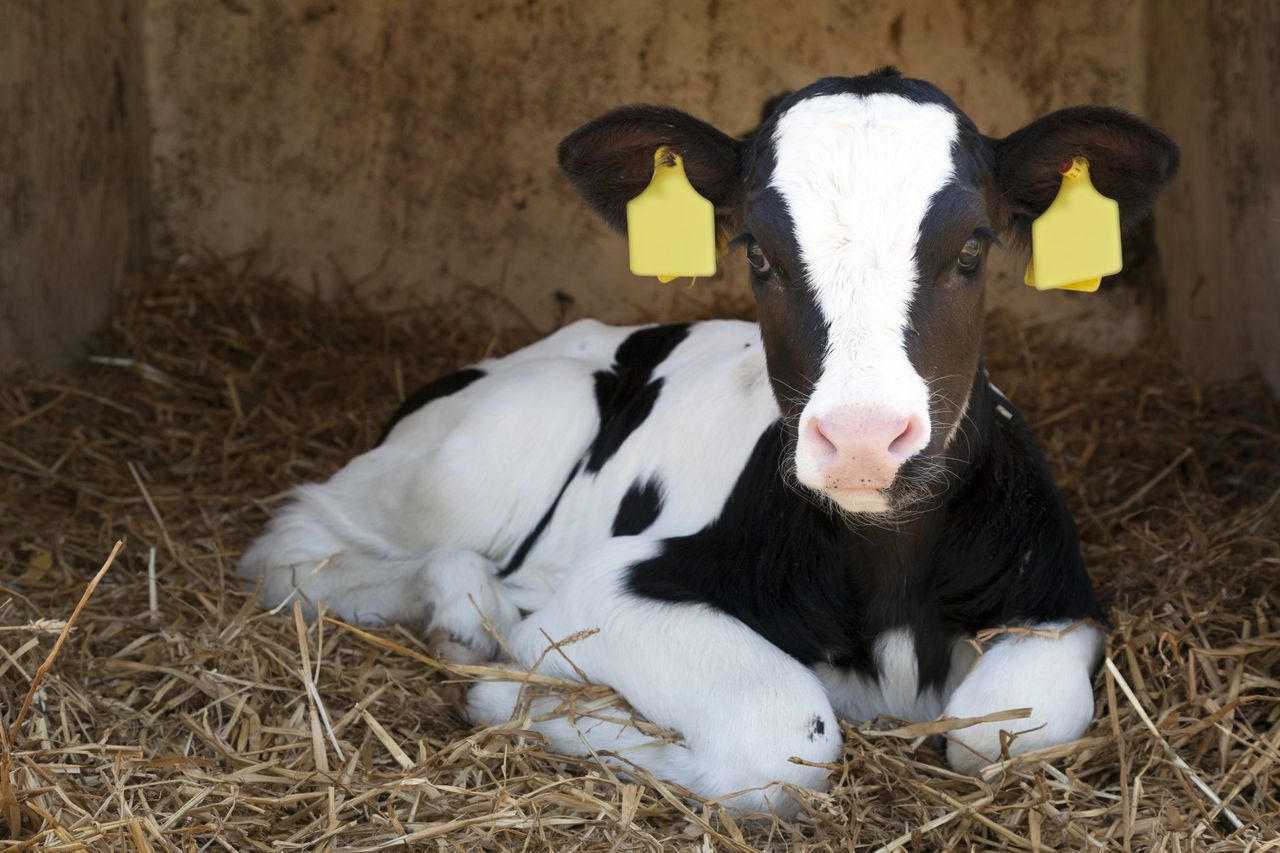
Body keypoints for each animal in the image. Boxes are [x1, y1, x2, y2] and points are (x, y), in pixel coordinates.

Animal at [238, 68, 1178, 817]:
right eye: (756, 251)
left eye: (975, 245)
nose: (863, 439)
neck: (890, 582)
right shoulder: (611, 591)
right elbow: (782, 737)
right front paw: (522, 698)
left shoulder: (1058, 599)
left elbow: (1008, 730)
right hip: (505, 435)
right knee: (297, 548)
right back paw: (471, 619)